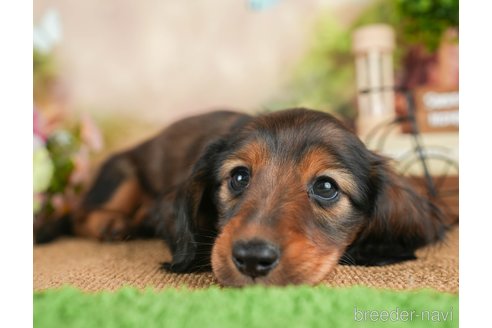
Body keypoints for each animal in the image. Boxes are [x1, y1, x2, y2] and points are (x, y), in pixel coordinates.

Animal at [69, 109, 450, 286]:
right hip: (121, 174)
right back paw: (113, 223)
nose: (252, 259)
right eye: (239, 177)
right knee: (80, 213)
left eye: (326, 187)